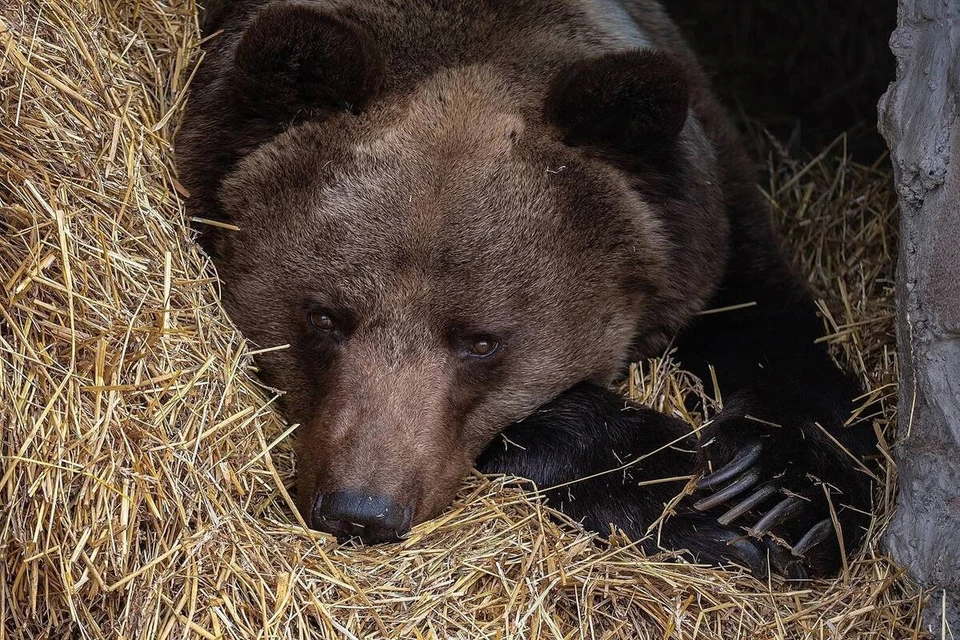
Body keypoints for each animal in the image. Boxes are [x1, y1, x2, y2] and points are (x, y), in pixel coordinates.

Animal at [176, 0, 880, 580]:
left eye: (482, 341)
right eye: (324, 316)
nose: (360, 508)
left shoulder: (711, 225)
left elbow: (773, 332)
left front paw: (775, 497)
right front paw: (695, 494)